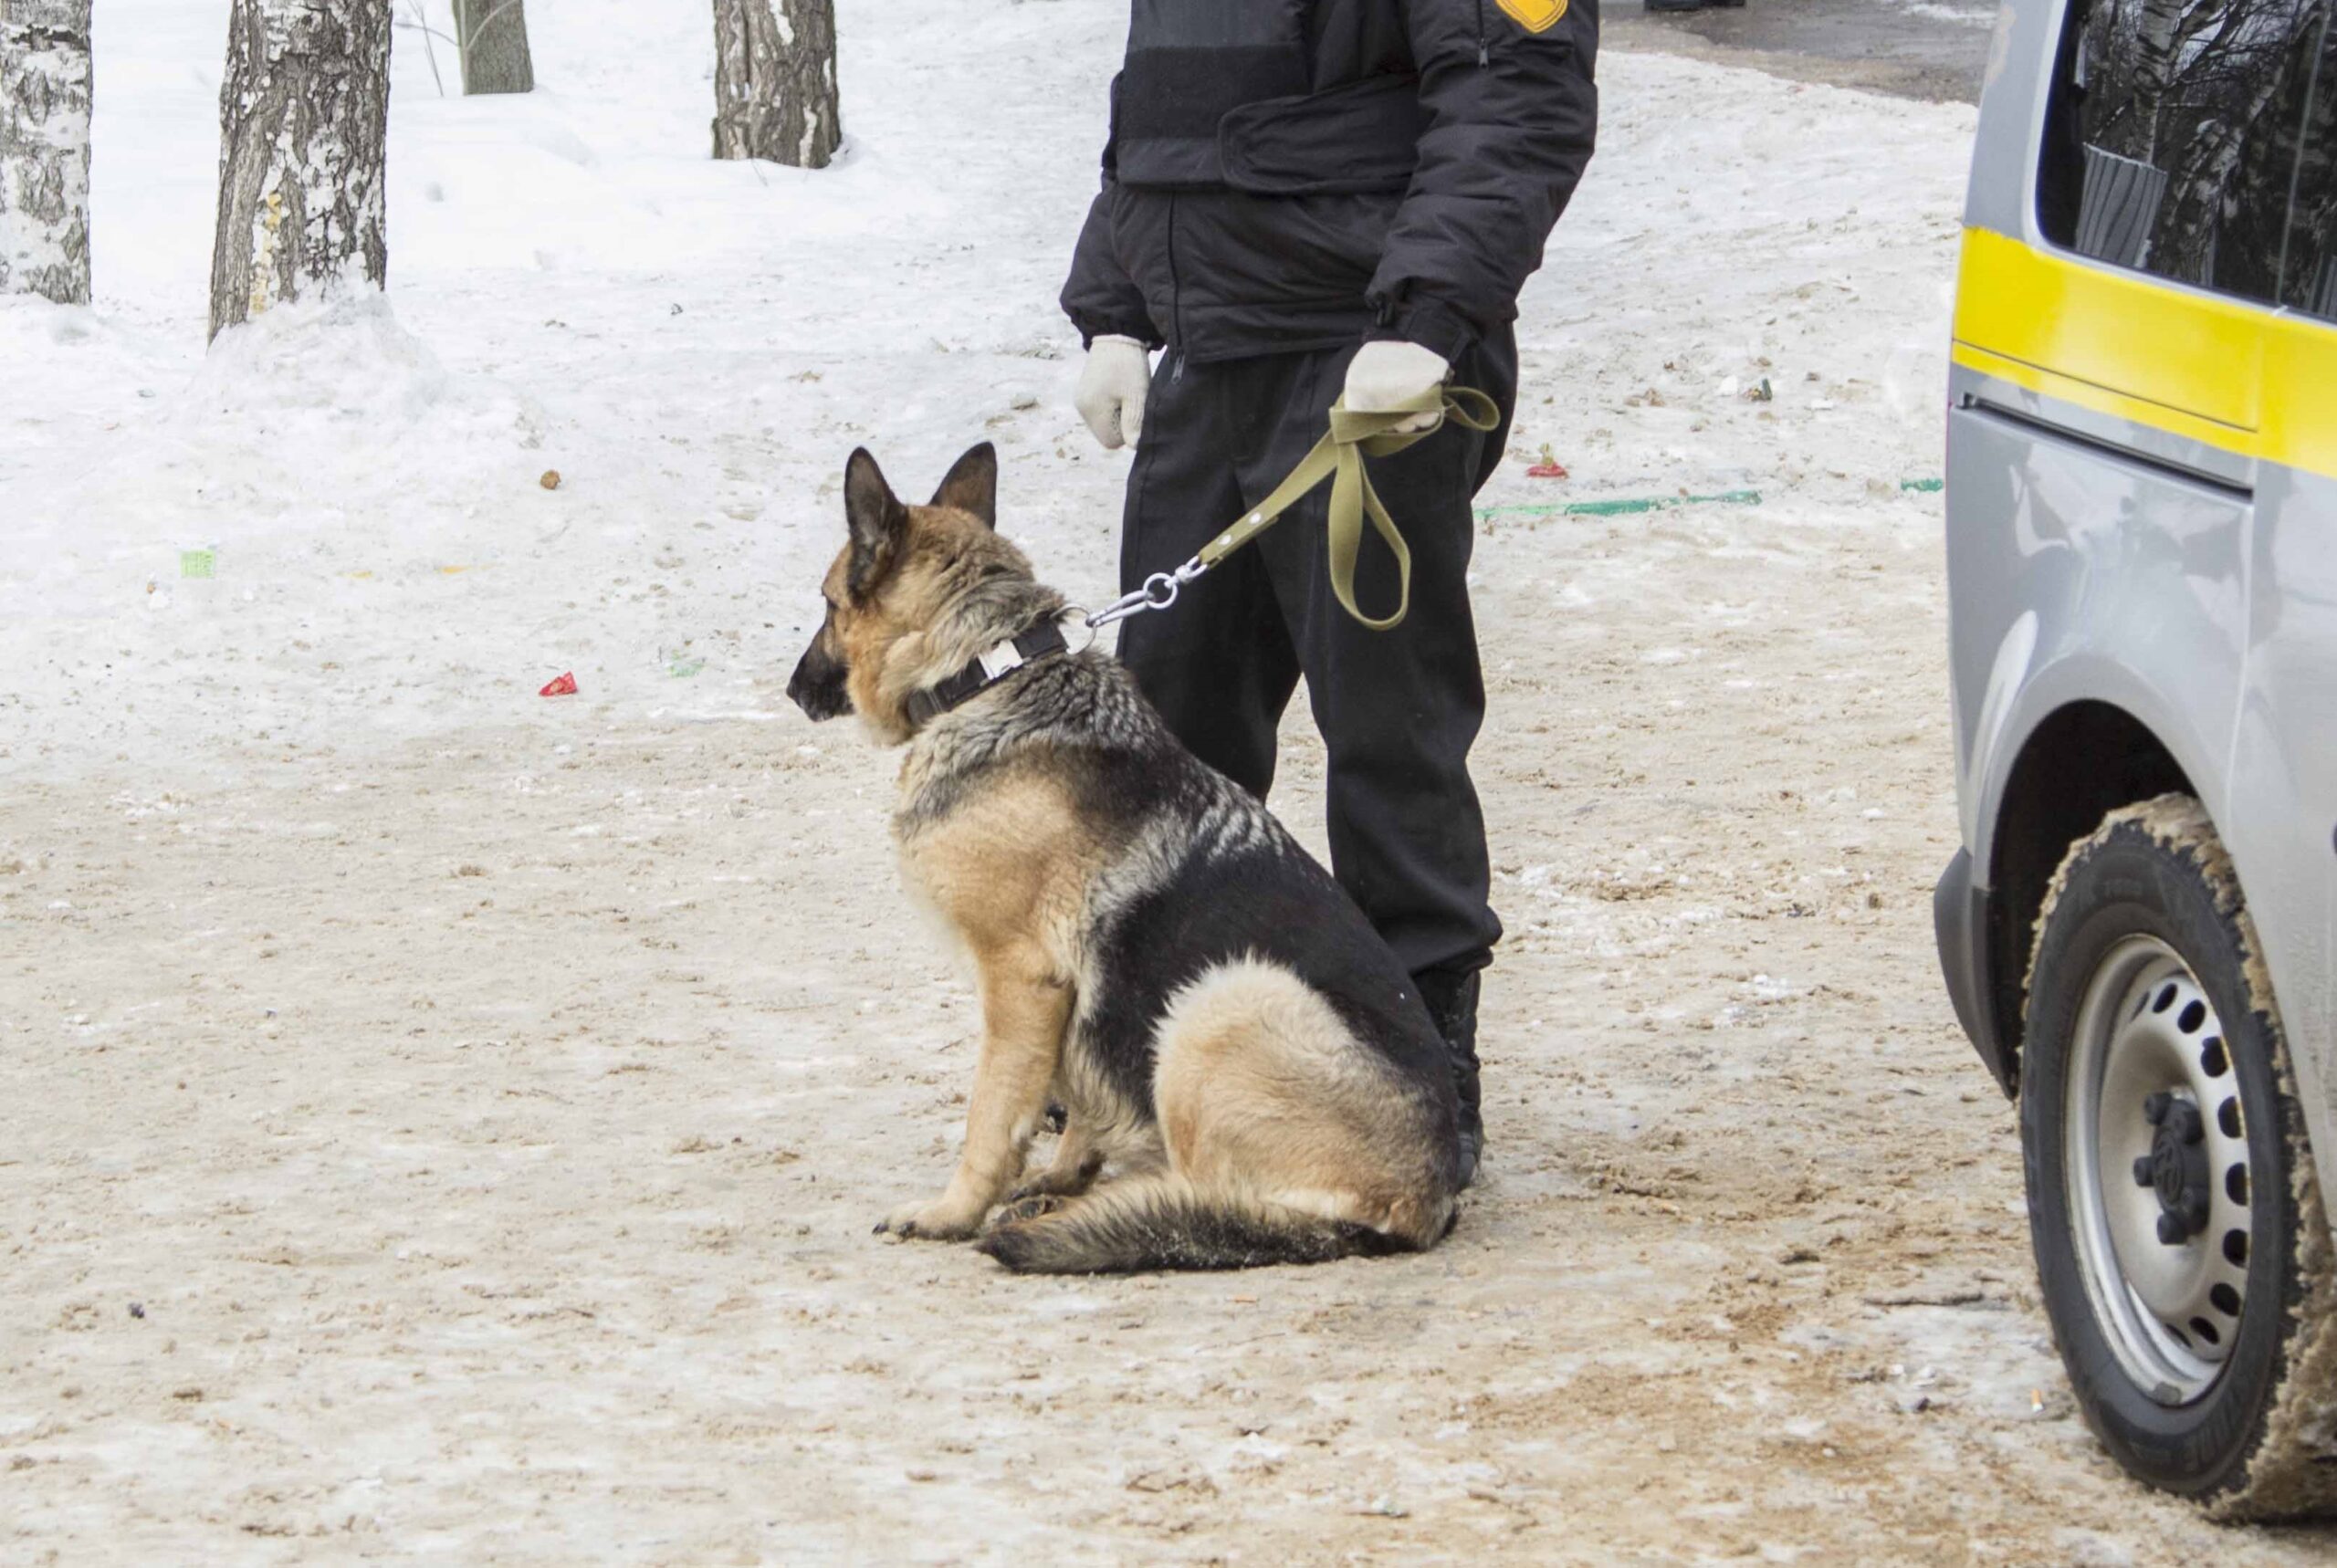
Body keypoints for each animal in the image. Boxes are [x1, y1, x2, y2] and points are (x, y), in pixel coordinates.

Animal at [785, 441, 1458, 1270]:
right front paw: (1065, 1171)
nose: (792, 691)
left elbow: (990, 1117)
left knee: (1211, 1200)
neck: (985, 671)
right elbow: (1075, 1092)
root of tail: (1427, 1201)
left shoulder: (1020, 980)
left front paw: (954, 1212)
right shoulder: (1068, 998)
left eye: (827, 606)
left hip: (1222, 1000)